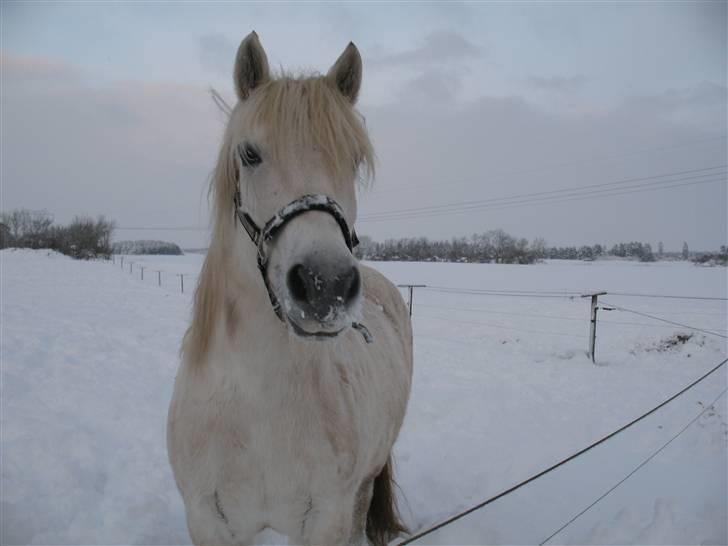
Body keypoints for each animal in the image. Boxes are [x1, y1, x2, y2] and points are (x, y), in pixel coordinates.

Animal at [167, 32, 413, 546]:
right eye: (249, 154)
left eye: (354, 160)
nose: (326, 286)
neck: (258, 407)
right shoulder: (208, 519)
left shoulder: (327, 517)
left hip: (363, 484)